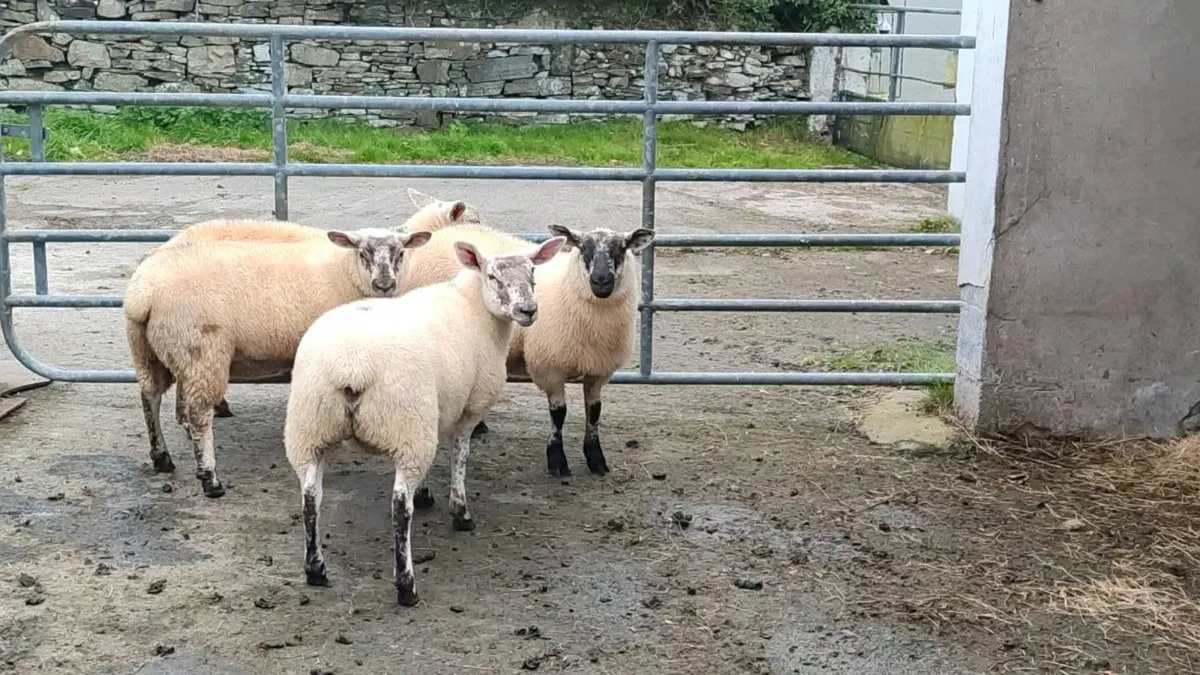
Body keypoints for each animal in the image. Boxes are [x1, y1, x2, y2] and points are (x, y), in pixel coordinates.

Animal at [124, 227, 432, 498]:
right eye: (362, 252)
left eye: (401, 253)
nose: (384, 285)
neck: (346, 271)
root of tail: (143, 294)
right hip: (201, 353)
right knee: (198, 415)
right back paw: (209, 478)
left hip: (150, 351)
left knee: (150, 397)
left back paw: (161, 458)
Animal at [284, 235, 566, 605]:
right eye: (492, 277)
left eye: (533, 272)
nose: (528, 311)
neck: (475, 308)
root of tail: (351, 366)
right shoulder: (468, 408)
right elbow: (459, 457)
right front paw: (460, 511)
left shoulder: (436, 409)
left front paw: (427, 493)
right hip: (405, 424)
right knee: (399, 508)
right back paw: (406, 585)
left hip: (310, 429)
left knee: (310, 499)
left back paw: (315, 569)